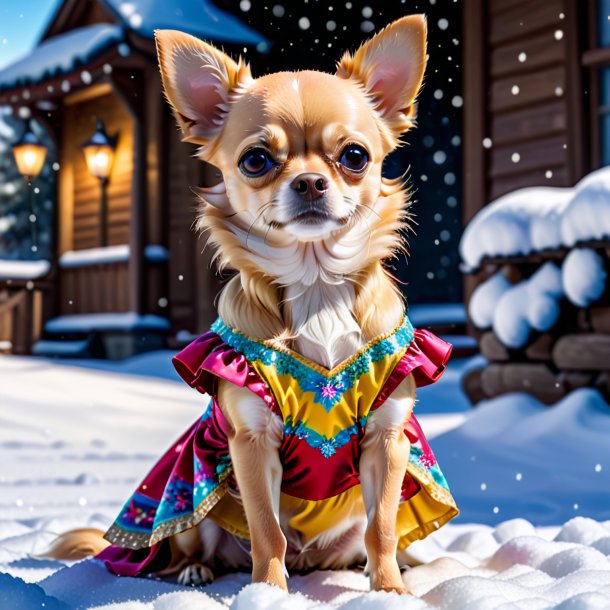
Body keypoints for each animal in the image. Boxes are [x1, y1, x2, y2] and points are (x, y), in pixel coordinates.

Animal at [48, 15, 456, 592]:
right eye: (256, 160)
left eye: (354, 156)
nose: (309, 182)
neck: (315, 288)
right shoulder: (251, 441)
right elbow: (268, 529)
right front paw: (268, 592)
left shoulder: (388, 438)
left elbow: (382, 530)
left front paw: (391, 591)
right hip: (200, 489)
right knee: (195, 544)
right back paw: (194, 569)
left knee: (368, 539)